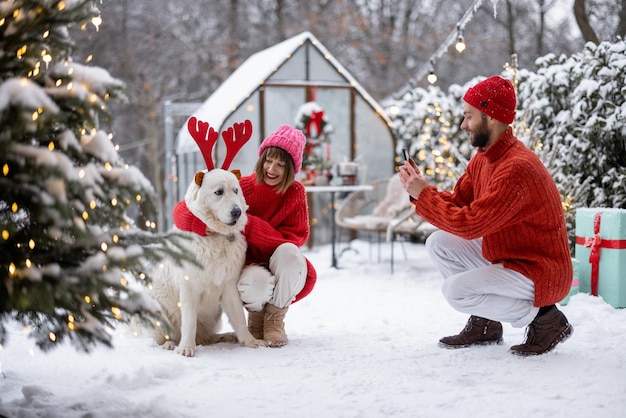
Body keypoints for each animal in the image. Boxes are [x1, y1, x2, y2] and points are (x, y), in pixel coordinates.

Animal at [150, 169, 264, 356]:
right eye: (219, 192)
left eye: (236, 191)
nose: (237, 211)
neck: (217, 237)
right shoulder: (189, 287)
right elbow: (189, 322)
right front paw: (186, 348)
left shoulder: (229, 285)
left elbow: (239, 316)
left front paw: (250, 341)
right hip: (158, 311)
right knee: (162, 338)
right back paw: (170, 344)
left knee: (206, 337)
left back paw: (226, 336)